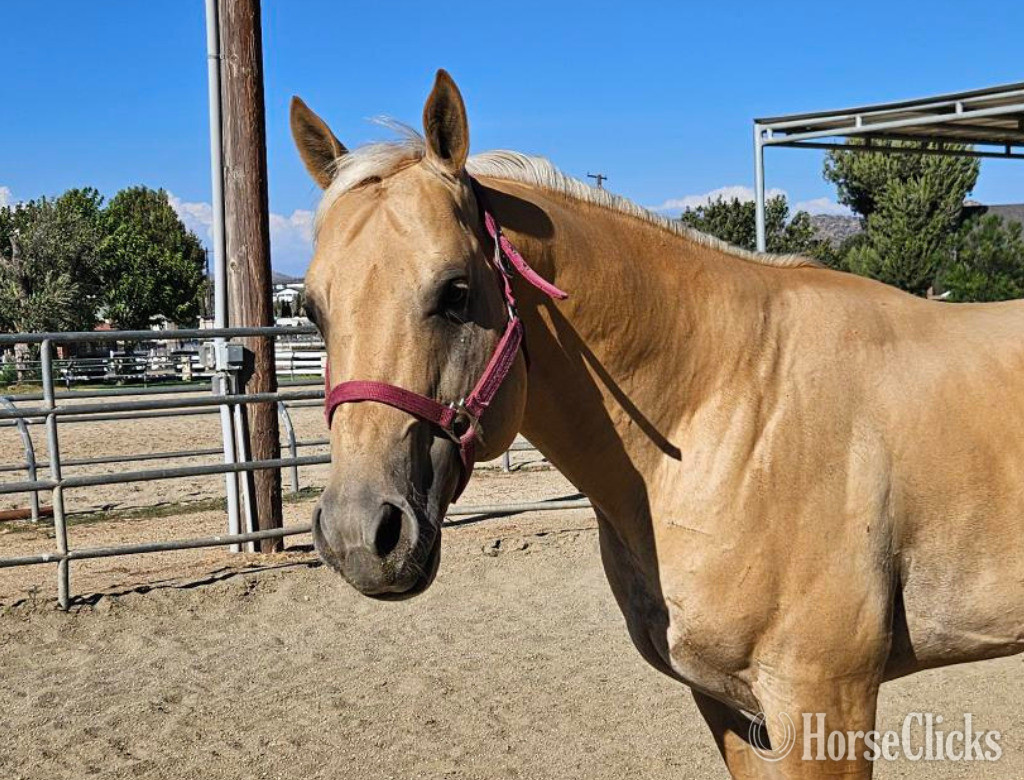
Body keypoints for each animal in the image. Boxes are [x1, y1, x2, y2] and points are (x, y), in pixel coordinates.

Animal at [290, 70, 1024, 778]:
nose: (360, 535)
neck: (732, 412)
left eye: (456, 292)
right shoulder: (726, 703)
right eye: (313, 309)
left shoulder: (825, 701)